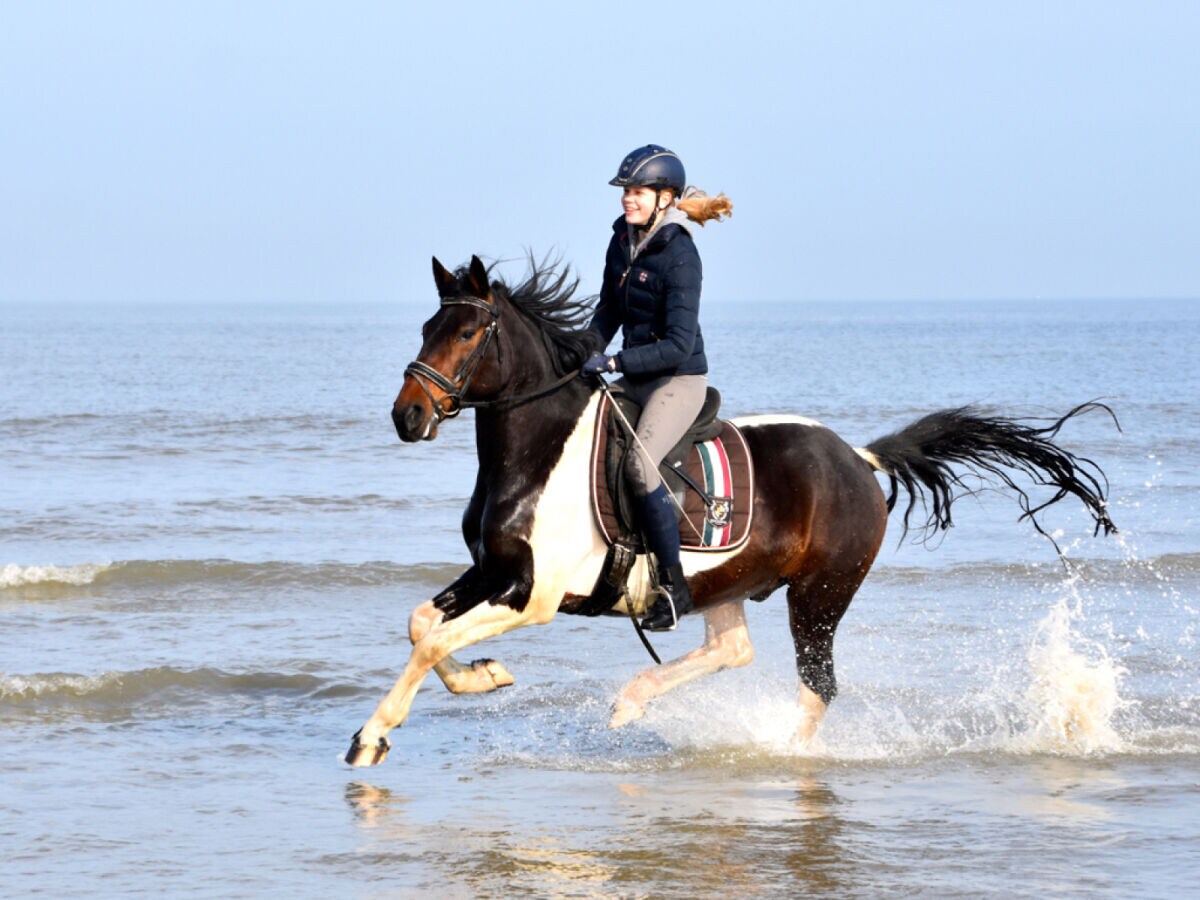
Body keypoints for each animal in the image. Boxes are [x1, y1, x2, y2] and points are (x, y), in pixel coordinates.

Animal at [343, 254, 1108, 768]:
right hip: (724, 581)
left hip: (819, 597)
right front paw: (487, 675)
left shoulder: (533, 594)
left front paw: (373, 736)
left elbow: (432, 640)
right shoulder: (494, 571)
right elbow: (422, 627)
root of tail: (858, 460)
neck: (538, 454)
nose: (408, 416)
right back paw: (635, 699)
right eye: (428, 325)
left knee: (817, 685)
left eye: (467, 336)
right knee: (731, 649)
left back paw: (781, 753)